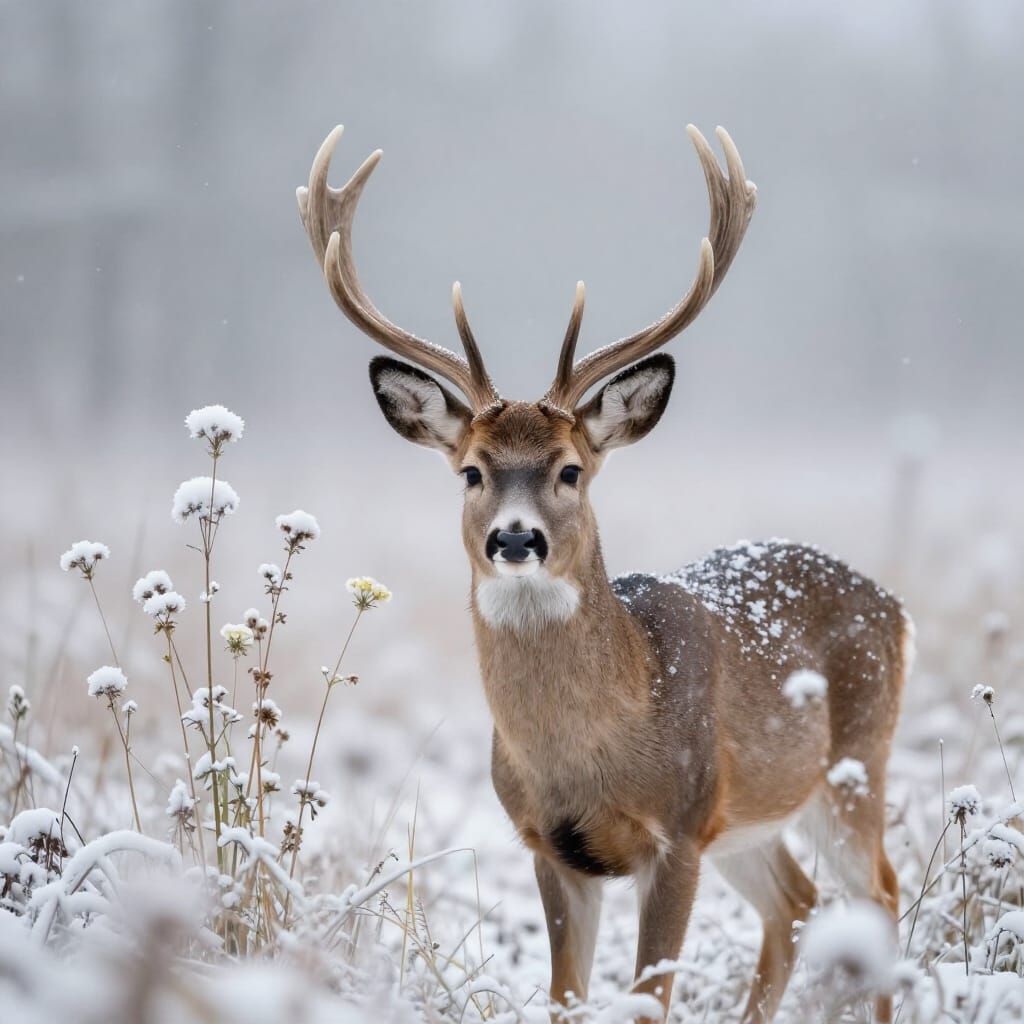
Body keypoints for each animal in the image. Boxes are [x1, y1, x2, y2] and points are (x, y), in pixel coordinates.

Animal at [297, 123, 910, 1023]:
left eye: (571, 469)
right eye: (472, 471)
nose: (516, 540)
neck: (598, 748)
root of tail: (895, 605)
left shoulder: (680, 827)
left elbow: (649, 997)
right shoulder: (549, 843)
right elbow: (566, 996)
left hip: (853, 765)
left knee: (880, 894)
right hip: (755, 816)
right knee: (797, 903)